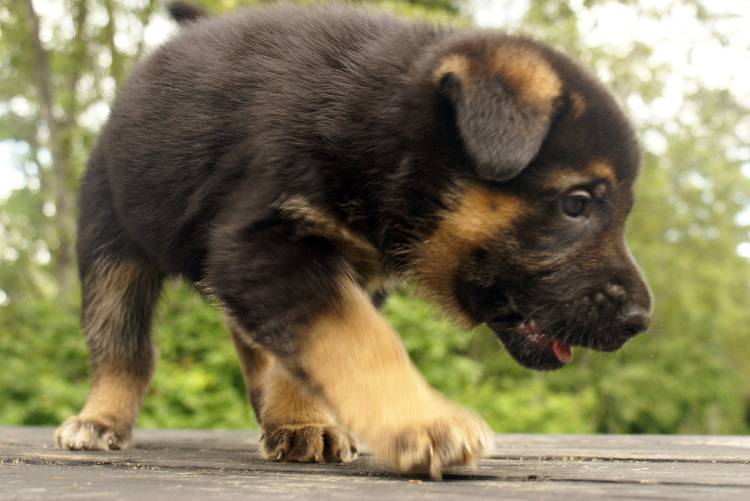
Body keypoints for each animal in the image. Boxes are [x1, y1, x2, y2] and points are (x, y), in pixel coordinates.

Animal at [54, 2, 652, 480]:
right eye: (577, 204)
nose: (640, 322)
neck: (382, 127)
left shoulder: (333, 268)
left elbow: (309, 350)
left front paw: (304, 421)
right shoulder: (267, 243)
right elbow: (358, 339)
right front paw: (424, 422)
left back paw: (276, 416)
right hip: (112, 241)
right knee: (122, 347)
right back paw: (99, 420)